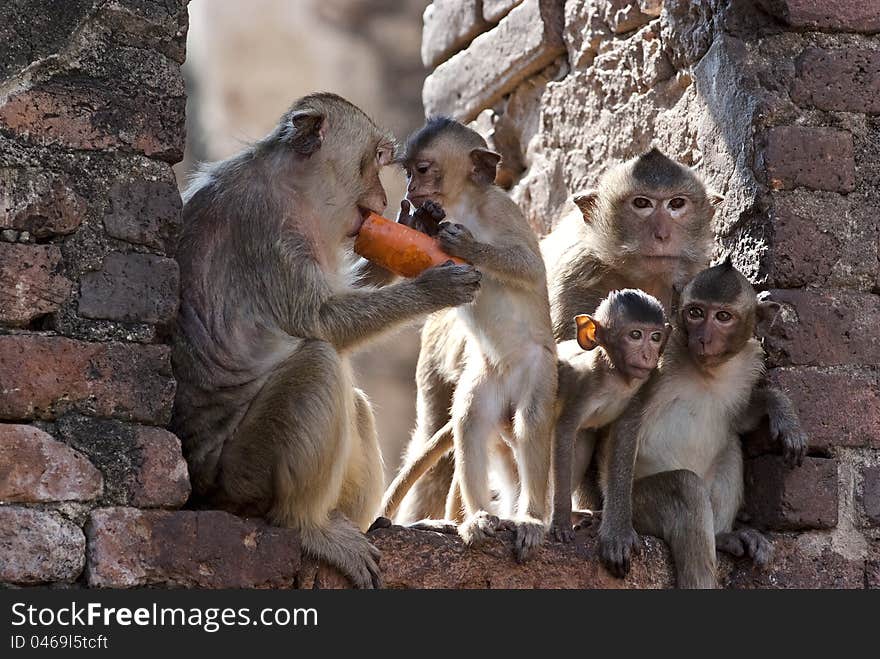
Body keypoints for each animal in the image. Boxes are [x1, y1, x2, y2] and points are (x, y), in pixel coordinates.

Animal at [172, 94, 482, 588]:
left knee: (351, 400)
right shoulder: (272, 232)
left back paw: (366, 523)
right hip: (240, 479)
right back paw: (310, 528)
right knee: (318, 363)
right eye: (376, 159)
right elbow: (323, 322)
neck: (291, 186)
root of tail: (203, 494)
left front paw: (418, 226)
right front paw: (434, 290)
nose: (382, 200)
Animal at [398, 117, 556, 556]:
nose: (409, 190)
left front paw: (468, 245)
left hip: (538, 371)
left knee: (531, 422)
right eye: (408, 170)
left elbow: (529, 266)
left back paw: (531, 518)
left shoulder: (503, 211)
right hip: (485, 378)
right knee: (469, 421)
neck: (466, 206)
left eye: (423, 169)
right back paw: (478, 518)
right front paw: (417, 220)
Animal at [552, 292, 668, 544]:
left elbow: (621, 443)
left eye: (656, 337)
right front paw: (560, 522)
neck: (613, 377)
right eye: (635, 335)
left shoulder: (638, 391)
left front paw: (618, 532)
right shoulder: (581, 386)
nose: (648, 355)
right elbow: (563, 434)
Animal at [596, 262, 808, 588]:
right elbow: (626, 422)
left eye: (722, 317)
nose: (704, 338)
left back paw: (722, 536)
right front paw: (616, 531)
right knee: (686, 489)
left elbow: (741, 418)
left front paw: (782, 411)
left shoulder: (748, 365)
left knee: (730, 447)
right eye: (695, 312)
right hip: (640, 504)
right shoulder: (658, 361)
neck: (708, 371)